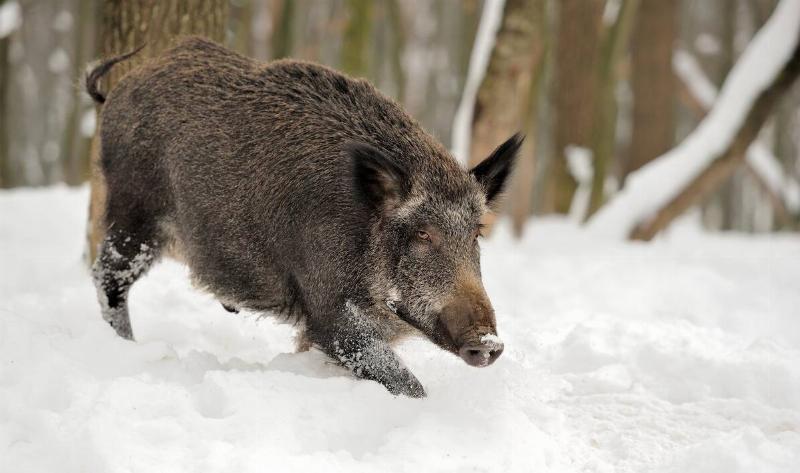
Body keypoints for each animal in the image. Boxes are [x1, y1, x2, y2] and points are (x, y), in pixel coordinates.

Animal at [87, 37, 521, 397]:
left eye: (476, 232)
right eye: (422, 233)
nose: (488, 342)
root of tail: (121, 88)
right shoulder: (329, 308)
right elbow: (404, 382)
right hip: (134, 214)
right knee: (107, 277)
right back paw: (123, 346)